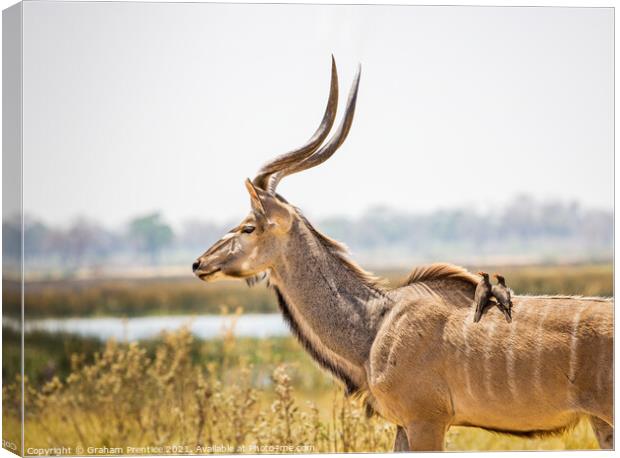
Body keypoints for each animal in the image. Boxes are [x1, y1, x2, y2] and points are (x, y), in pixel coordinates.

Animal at [193, 57, 612, 450]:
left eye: (249, 227)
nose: (199, 264)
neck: (376, 323)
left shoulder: (426, 420)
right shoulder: (403, 425)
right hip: (601, 423)